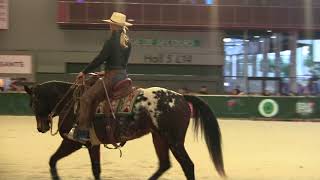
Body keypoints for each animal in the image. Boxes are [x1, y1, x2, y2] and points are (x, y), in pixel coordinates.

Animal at [24, 80, 225, 180]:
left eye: (33, 102)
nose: (41, 127)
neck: (72, 103)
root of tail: (182, 97)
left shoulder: (74, 142)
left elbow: (55, 160)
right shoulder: (90, 144)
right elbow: (94, 169)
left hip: (174, 141)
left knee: (188, 166)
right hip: (159, 138)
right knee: (164, 164)